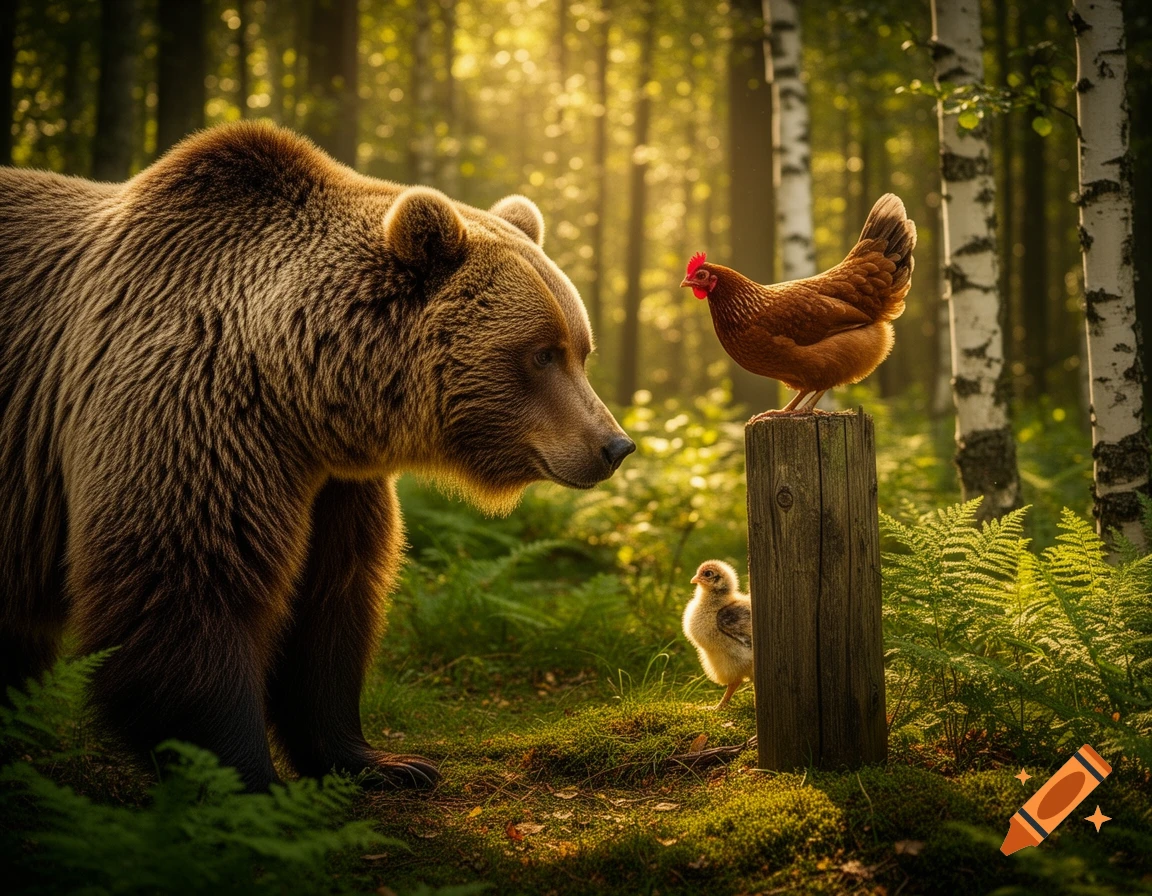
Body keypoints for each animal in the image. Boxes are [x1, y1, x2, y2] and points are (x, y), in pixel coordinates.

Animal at [0, 122, 634, 791]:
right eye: (541, 352)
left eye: (581, 349)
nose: (614, 444)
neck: (294, 392)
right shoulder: (189, 418)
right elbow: (188, 591)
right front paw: (248, 777)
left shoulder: (333, 482)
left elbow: (332, 602)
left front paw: (382, 761)